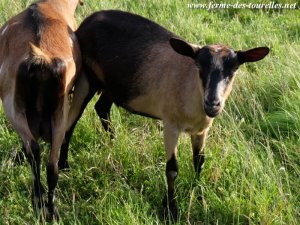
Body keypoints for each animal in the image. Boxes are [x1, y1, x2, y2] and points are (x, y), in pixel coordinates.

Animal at [0, 0, 83, 220]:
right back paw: (50, 209)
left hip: (13, 108)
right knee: (50, 164)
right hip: (57, 113)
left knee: (34, 149)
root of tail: (40, 57)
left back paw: (39, 201)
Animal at [58, 9, 270, 219]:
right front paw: (172, 209)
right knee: (71, 120)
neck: (191, 90)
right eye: (199, 67)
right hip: (85, 77)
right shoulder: (170, 124)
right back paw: (64, 166)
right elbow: (172, 169)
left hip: (112, 84)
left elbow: (199, 162)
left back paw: (113, 144)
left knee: (101, 108)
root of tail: (88, 20)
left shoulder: (202, 130)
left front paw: (199, 195)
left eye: (233, 70)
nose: (213, 103)